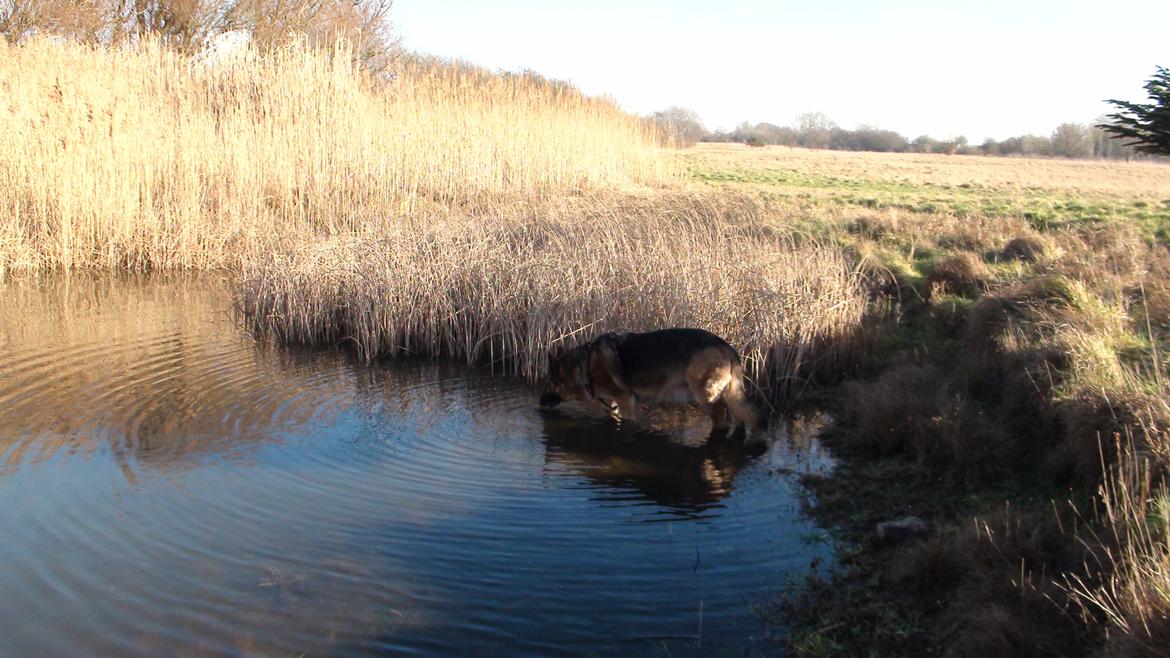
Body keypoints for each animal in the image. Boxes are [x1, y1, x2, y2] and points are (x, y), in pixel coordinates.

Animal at [535, 325, 758, 430]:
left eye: (547, 383)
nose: (539, 402)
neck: (584, 366)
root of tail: (727, 348)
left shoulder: (626, 401)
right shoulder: (615, 404)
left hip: (705, 395)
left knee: (723, 417)